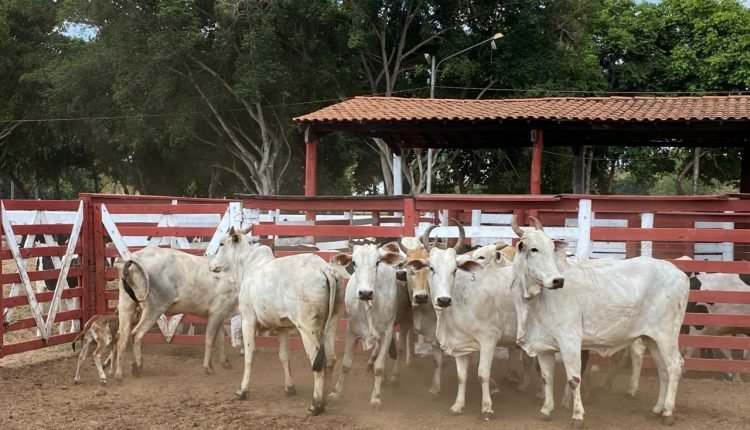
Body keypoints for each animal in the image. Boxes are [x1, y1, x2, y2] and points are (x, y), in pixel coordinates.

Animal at [209, 227, 344, 414]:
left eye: (221, 243)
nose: (211, 265)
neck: (247, 266)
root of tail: (325, 269)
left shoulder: (248, 319)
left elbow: (249, 355)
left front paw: (242, 390)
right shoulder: (283, 327)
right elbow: (284, 356)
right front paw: (290, 387)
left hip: (307, 328)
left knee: (318, 363)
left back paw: (315, 405)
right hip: (331, 323)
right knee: (330, 359)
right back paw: (323, 401)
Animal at [328, 244, 412, 408]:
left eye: (377, 262)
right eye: (354, 263)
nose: (365, 293)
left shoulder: (387, 332)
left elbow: (379, 366)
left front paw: (376, 398)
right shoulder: (351, 331)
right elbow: (346, 364)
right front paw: (336, 393)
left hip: (405, 321)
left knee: (399, 349)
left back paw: (394, 377)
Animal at [516, 215, 692, 426]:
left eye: (552, 248)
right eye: (533, 249)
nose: (558, 281)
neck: (536, 300)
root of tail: (681, 274)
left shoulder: (570, 341)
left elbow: (574, 379)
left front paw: (577, 416)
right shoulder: (544, 346)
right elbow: (546, 377)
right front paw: (546, 410)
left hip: (667, 335)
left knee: (674, 366)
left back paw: (668, 413)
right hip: (652, 338)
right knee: (663, 370)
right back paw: (658, 408)